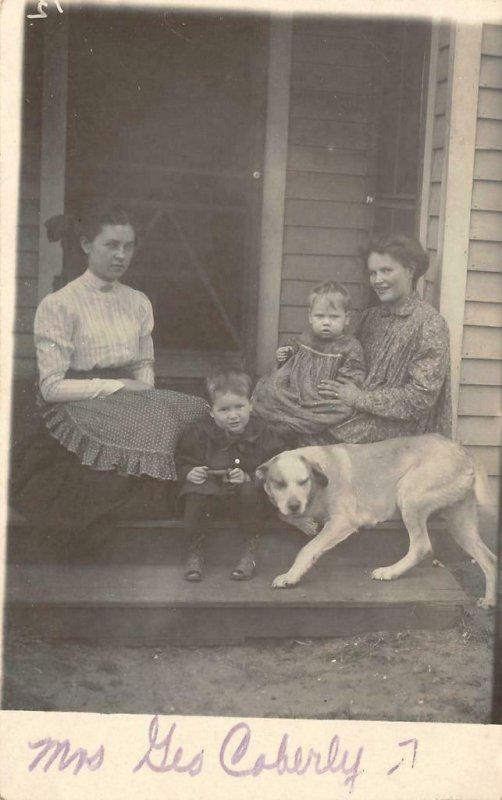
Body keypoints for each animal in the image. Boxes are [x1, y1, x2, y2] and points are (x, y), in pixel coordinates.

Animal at [256, 434, 496, 608]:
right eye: (278, 483)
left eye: (303, 481)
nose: (295, 505)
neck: (317, 484)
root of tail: (464, 451)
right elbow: (281, 514)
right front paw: (305, 524)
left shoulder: (343, 521)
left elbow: (308, 548)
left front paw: (291, 576)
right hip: (459, 524)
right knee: (489, 559)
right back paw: (490, 601)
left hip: (409, 493)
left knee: (421, 547)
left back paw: (390, 572)